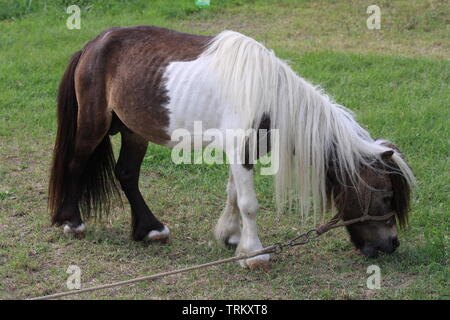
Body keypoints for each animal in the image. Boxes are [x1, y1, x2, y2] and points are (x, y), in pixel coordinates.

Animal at [48, 26, 414, 268]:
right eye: (385, 196)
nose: (391, 245)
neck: (272, 98)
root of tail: (93, 45)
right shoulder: (241, 152)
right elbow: (249, 203)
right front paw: (254, 254)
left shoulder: (242, 154)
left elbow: (234, 194)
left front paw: (232, 237)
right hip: (93, 125)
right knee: (76, 165)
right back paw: (73, 223)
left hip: (135, 130)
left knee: (126, 174)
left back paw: (150, 230)